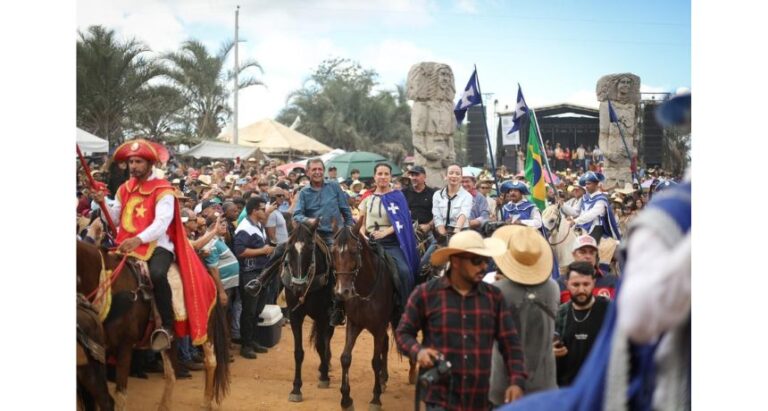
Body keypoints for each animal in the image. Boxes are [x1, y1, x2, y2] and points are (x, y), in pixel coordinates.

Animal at [76, 240, 230, 410]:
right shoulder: (96, 353)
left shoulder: (124, 347)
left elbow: (120, 395)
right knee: (171, 374)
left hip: (205, 326)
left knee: (210, 361)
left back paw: (206, 401)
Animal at [330, 222, 414, 411]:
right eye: (333, 252)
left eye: (354, 251)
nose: (342, 292)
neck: (365, 288)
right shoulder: (354, 324)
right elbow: (345, 358)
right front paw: (346, 399)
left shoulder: (378, 327)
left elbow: (375, 361)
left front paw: (375, 399)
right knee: (385, 345)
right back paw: (383, 379)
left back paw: (412, 372)